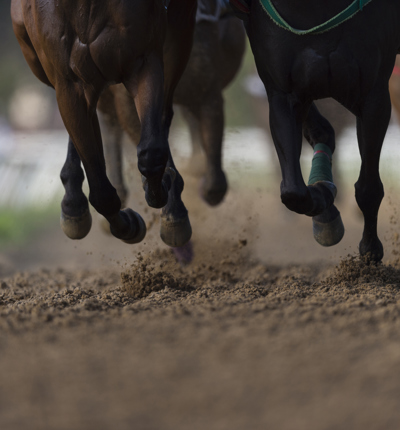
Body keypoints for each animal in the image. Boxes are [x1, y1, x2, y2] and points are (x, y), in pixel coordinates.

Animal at [12, 0, 198, 249]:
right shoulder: (68, 83)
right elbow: (101, 191)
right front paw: (128, 225)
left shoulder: (144, 60)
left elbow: (152, 152)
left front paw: (162, 190)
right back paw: (74, 203)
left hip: (178, 35)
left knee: (162, 116)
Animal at [230, 0, 400, 262]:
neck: (313, 7)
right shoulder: (282, 92)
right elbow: (293, 191)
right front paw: (324, 197)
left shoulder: (374, 94)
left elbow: (368, 187)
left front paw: (370, 250)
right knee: (321, 132)